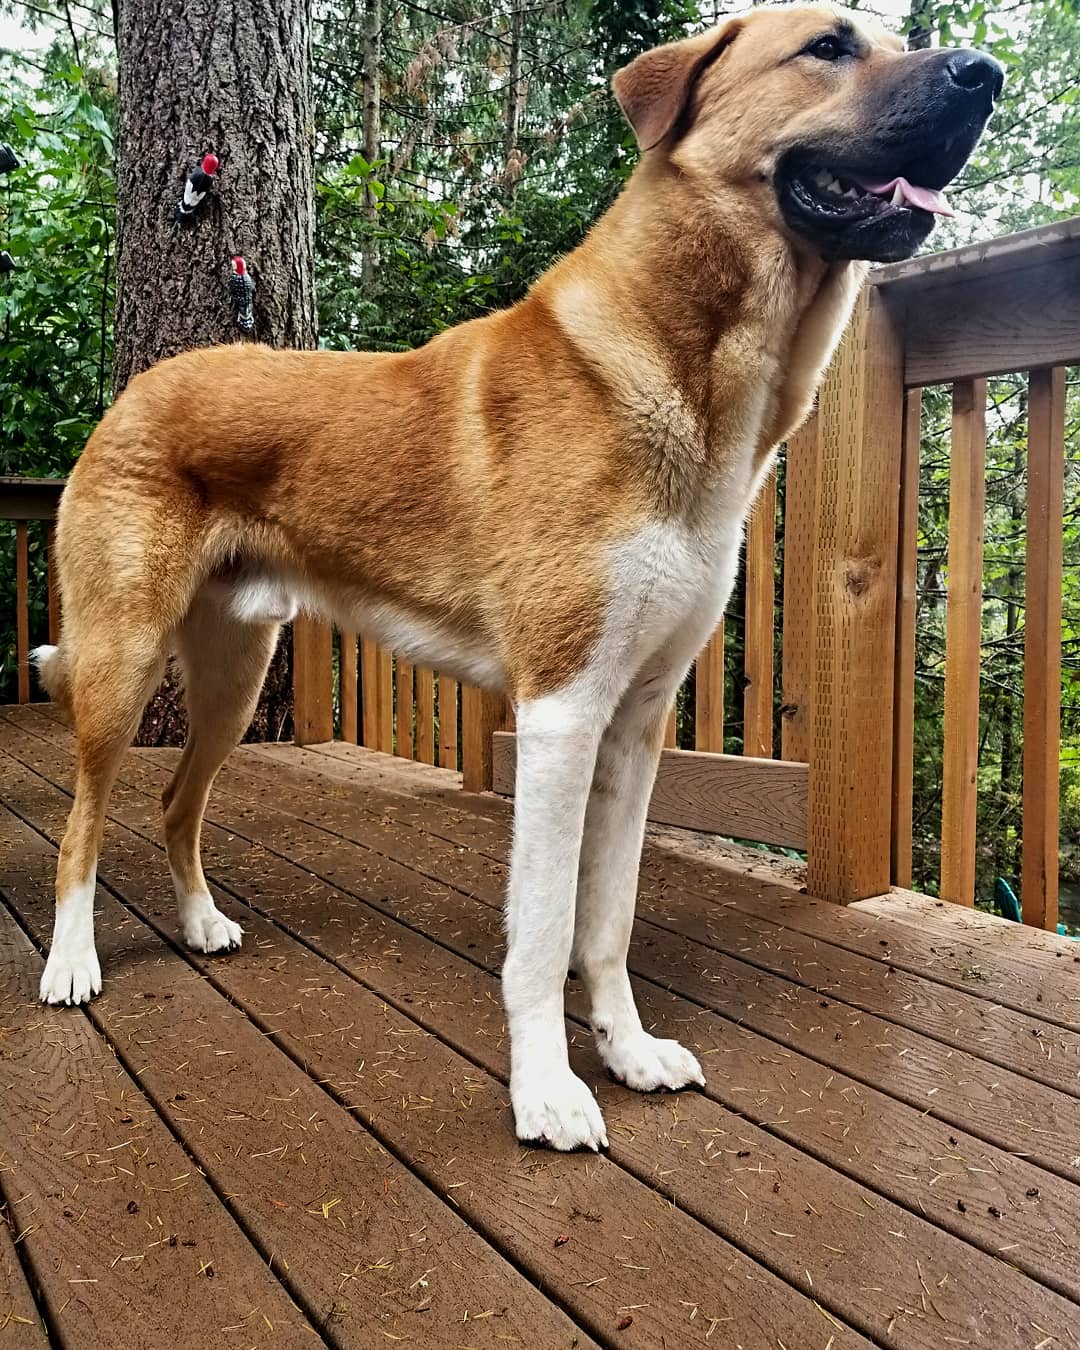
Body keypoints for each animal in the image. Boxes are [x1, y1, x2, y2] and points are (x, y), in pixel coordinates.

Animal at [37, 7, 999, 1150]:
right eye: (829, 46)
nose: (985, 74)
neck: (691, 374)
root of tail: (142, 387)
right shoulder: (561, 713)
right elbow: (542, 934)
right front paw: (547, 1091)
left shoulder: (637, 721)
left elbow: (608, 920)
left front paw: (627, 1052)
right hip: (121, 663)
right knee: (82, 824)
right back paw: (70, 965)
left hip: (234, 675)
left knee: (179, 804)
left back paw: (198, 923)